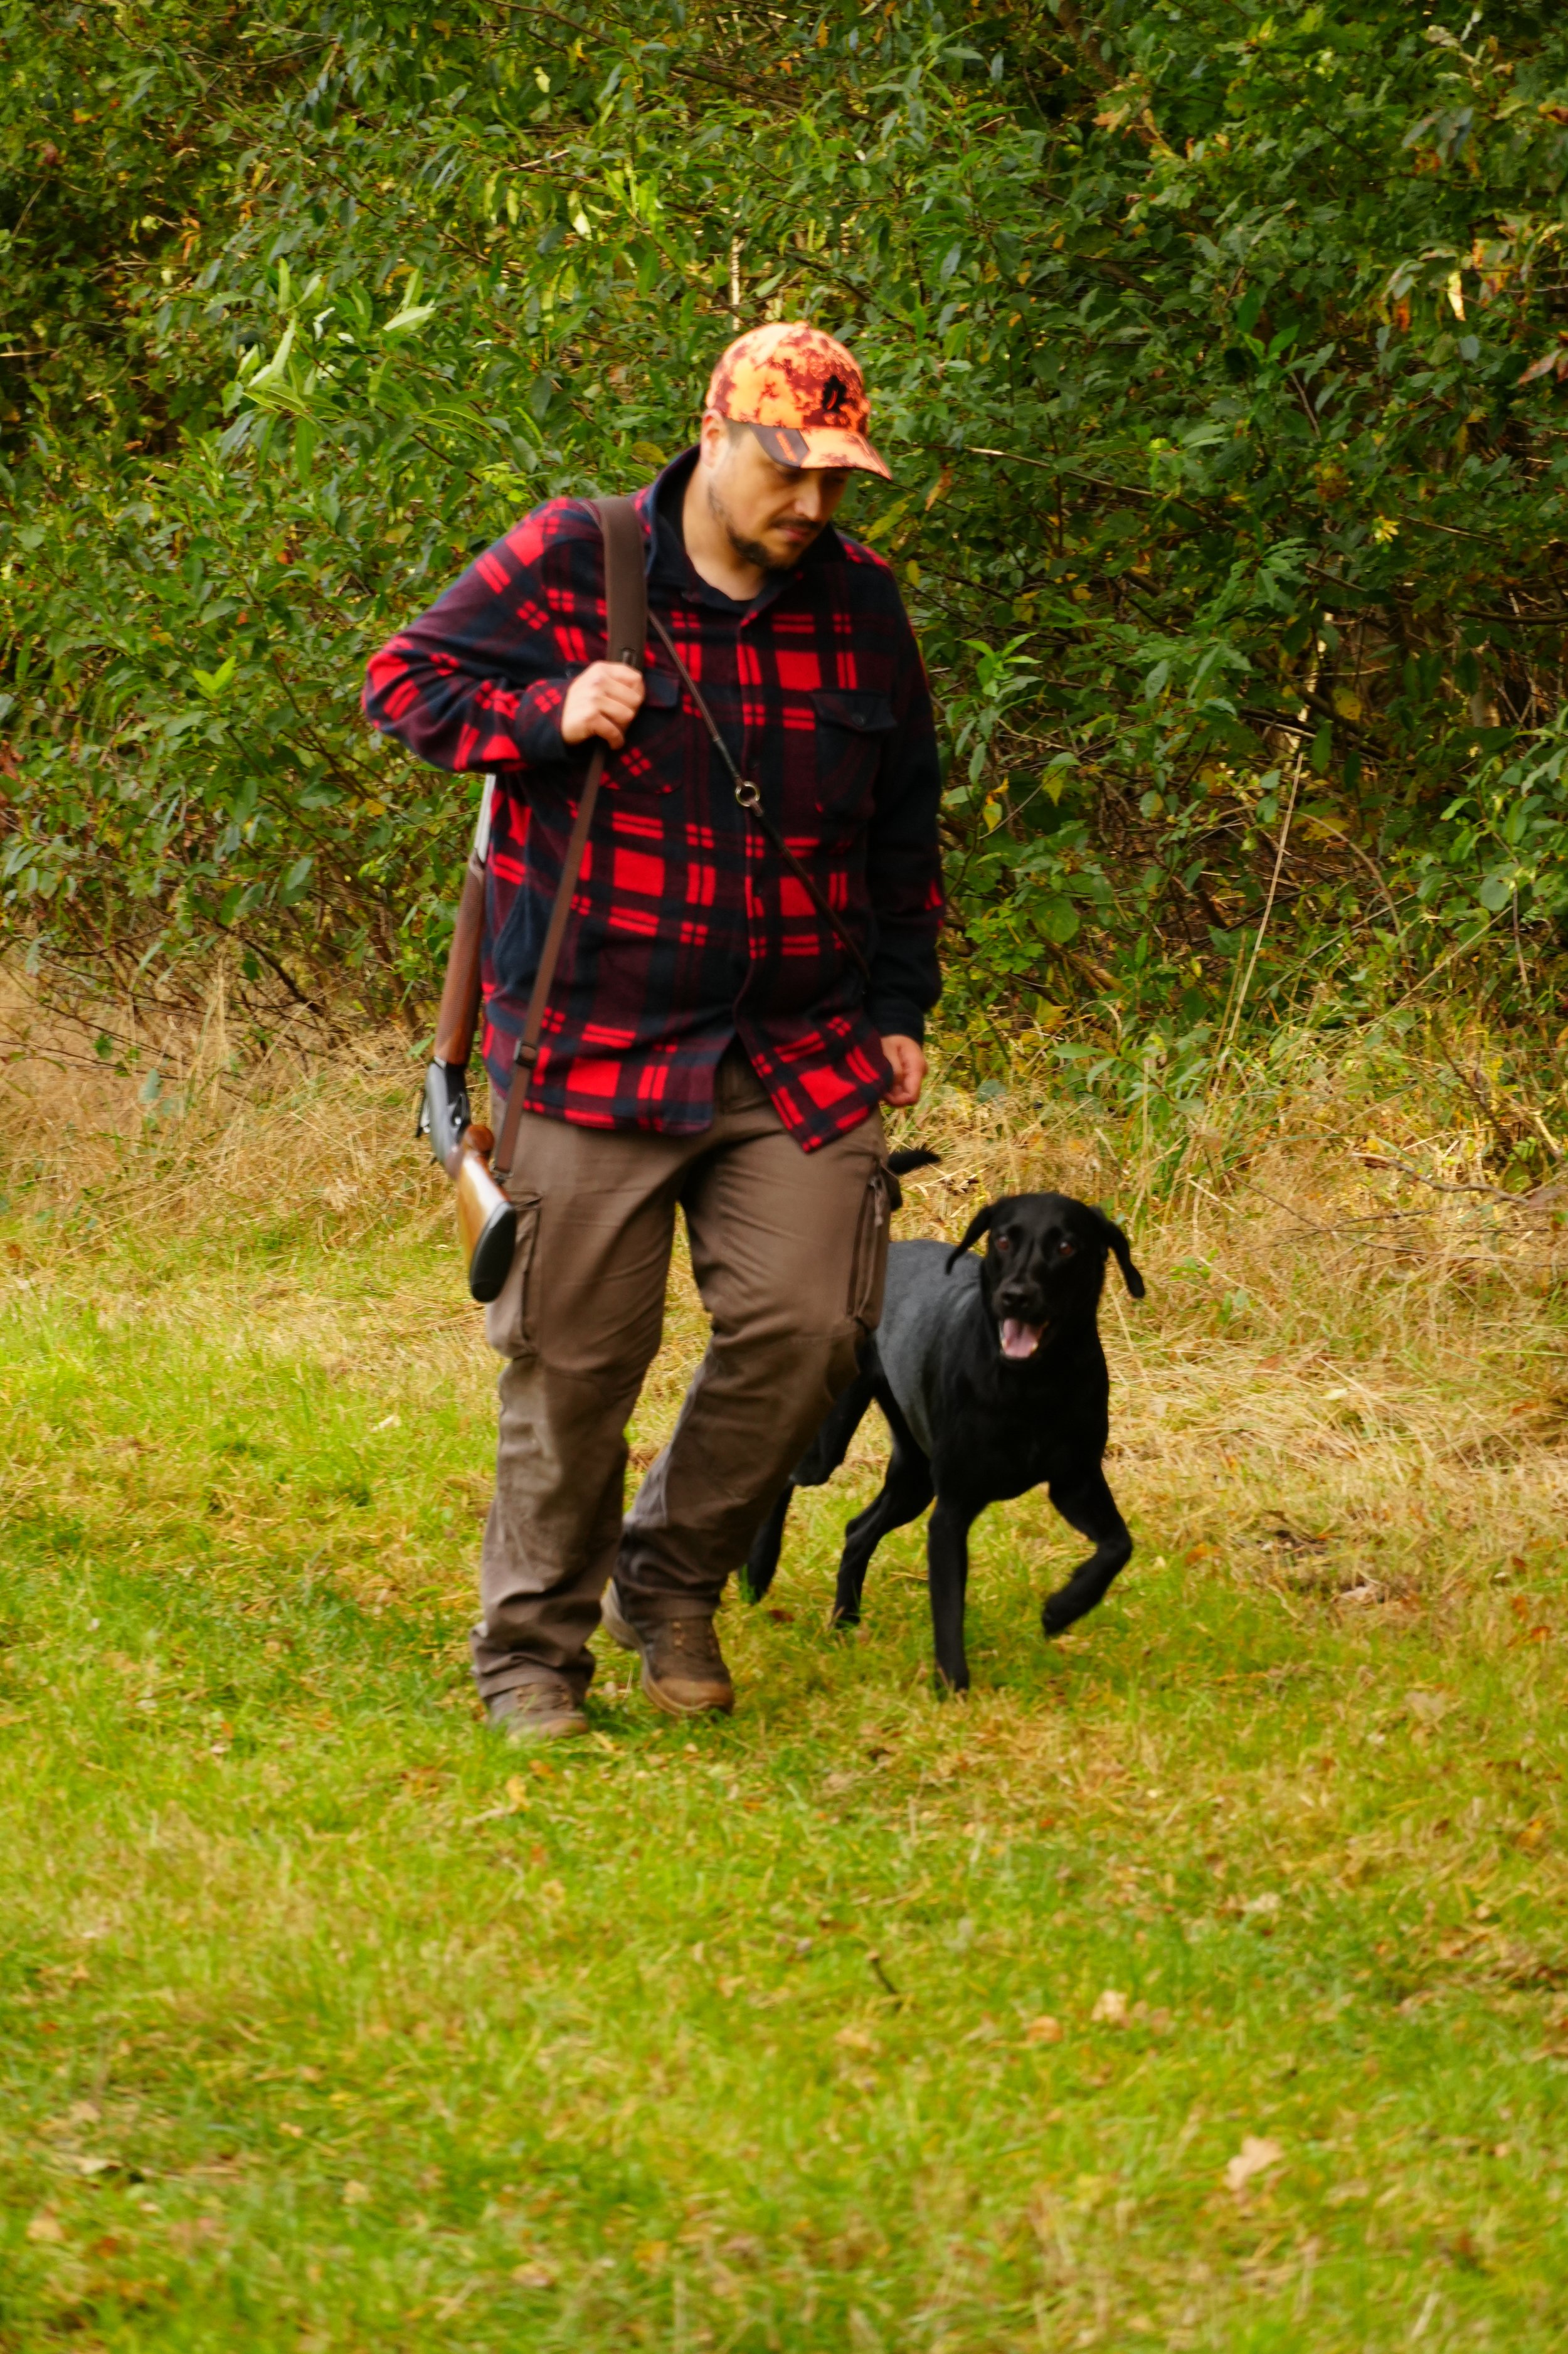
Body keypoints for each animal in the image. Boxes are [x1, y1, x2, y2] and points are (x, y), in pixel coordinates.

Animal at [745, 1177, 1146, 1690]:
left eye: (1066, 1246)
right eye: (1002, 1240)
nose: (1016, 1295)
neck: (1030, 1385)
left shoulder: (1075, 1482)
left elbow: (1118, 1545)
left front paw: (1063, 1608)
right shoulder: (952, 1510)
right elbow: (949, 1606)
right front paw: (954, 1686)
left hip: (915, 1477)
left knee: (857, 1531)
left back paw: (844, 1621)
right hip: (832, 1444)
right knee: (789, 1472)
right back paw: (758, 1571)